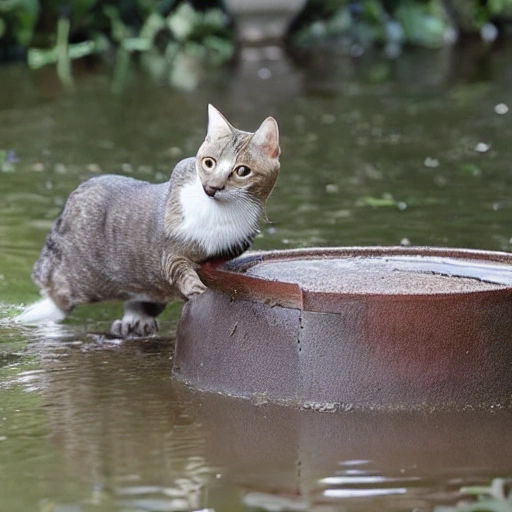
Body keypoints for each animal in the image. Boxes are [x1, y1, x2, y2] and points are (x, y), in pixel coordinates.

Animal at [18, 105, 280, 336]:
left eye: (242, 171)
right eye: (209, 162)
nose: (211, 187)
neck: (221, 215)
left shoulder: (239, 241)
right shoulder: (169, 248)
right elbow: (178, 266)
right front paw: (194, 286)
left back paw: (135, 321)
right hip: (76, 273)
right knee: (55, 290)